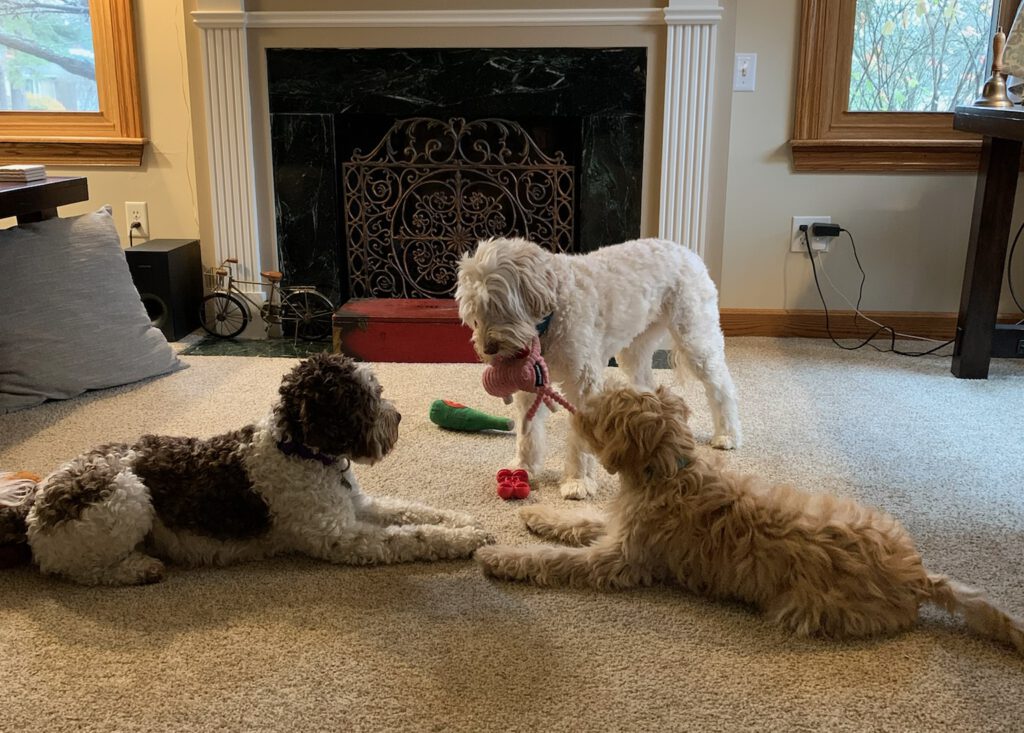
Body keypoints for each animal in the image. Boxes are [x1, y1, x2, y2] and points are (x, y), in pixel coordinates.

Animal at [0, 352, 491, 585]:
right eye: (364, 398)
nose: (399, 418)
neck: (301, 451)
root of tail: (34, 504)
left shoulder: (358, 504)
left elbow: (413, 510)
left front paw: (468, 523)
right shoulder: (341, 536)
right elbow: (412, 536)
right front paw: (465, 539)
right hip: (126, 497)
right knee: (76, 570)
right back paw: (139, 570)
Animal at [460, 237, 741, 501]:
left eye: (500, 307)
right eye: (475, 316)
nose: (488, 349)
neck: (554, 311)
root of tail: (686, 250)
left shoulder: (583, 385)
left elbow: (579, 440)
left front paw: (578, 481)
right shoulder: (531, 383)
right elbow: (527, 432)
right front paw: (523, 467)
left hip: (694, 337)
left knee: (721, 386)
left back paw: (727, 435)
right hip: (635, 348)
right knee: (646, 381)